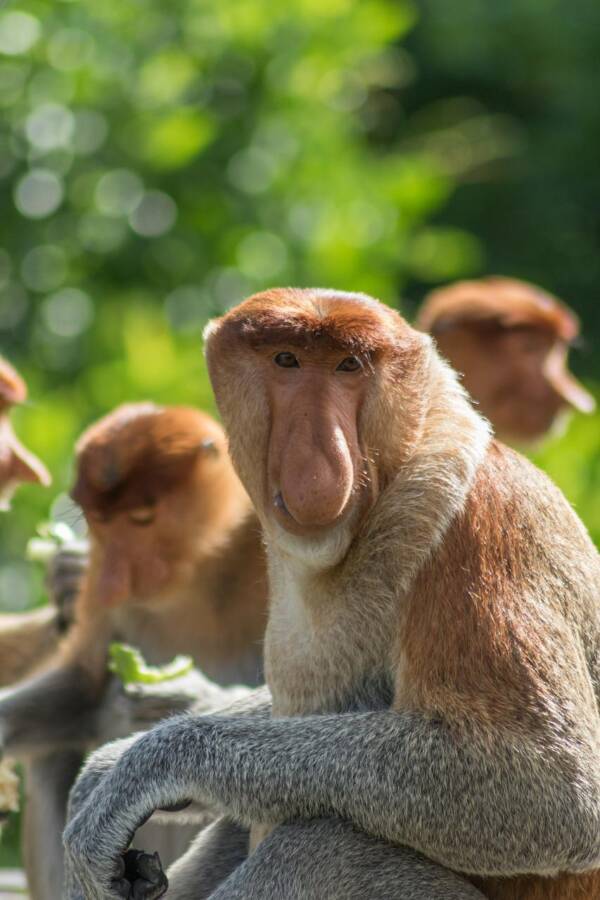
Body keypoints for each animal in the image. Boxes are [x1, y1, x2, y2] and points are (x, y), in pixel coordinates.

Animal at [0, 402, 268, 899]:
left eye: (143, 517)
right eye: (97, 520)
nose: (112, 581)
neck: (201, 573)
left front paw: (181, 695)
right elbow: (84, 683)